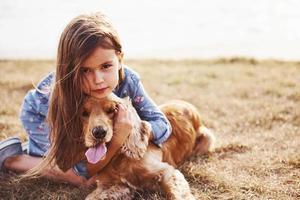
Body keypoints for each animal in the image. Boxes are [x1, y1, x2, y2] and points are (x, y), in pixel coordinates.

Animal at [82, 94, 216, 200]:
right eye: (84, 113)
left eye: (112, 109)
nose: (99, 132)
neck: (118, 158)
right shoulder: (112, 185)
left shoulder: (167, 172)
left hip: (207, 138)